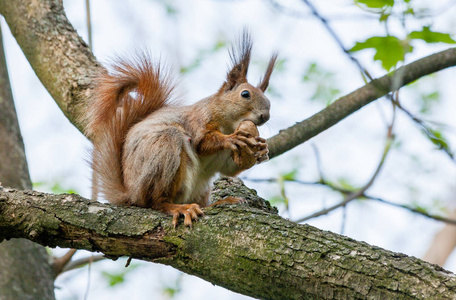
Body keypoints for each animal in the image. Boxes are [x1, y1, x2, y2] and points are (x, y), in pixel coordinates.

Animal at [85, 31, 278, 226]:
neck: (229, 125)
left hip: (201, 188)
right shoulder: (198, 120)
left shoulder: (224, 157)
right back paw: (178, 208)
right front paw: (231, 139)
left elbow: (229, 169)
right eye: (245, 94)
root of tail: (130, 194)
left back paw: (221, 202)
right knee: (156, 202)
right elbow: (202, 143)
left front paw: (263, 150)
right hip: (163, 153)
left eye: (269, 102)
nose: (265, 116)